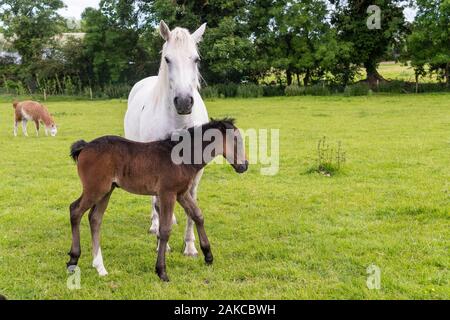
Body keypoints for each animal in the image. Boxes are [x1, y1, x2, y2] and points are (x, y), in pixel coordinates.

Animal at [68, 117, 248, 280]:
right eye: (236, 140)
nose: (244, 166)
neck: (181, 156)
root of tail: (85, 146)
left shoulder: (181, 193)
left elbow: (197, 215)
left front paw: (208, 256)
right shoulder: (167, 193)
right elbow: (165, 229)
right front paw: (161, 271)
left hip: (106, 191)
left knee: (95, 218)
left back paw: (100, 267)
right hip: (95, 189)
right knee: (75, 210)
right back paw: (73, 260)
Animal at [123, 21, 207, 258]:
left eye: (196, 59)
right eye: (167, 59)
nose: (184, 102)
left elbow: (191, 205)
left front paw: (190, 246)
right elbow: (160, 205)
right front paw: (163, 244)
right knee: (155, 200)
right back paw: (154, 225)